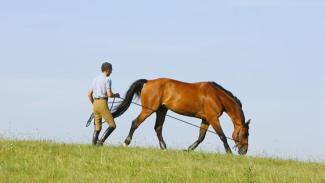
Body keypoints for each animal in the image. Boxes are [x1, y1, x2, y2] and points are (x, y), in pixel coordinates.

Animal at [112, 78, 251, 155]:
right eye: (245, 134)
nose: (244, 152)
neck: (216, 95)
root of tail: (148, 82)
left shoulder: (205, 119)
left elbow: (201, 137)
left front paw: (188, 149)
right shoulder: (213, 118)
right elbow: (222, 136)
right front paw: (229, 153)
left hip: (161, 111)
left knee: (158, 128)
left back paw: (164, 148)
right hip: (148, 110)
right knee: (135, 123)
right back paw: (126, 143)